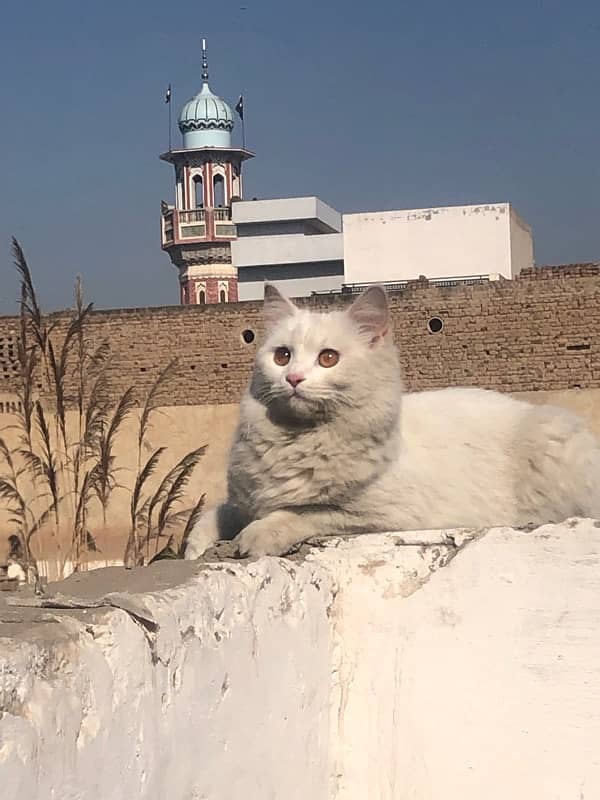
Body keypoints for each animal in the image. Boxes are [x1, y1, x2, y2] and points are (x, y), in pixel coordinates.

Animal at [185, 286, 596, 556]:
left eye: (328, 358)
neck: (296, 440)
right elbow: (216, 513)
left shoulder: (382, 513)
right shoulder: (244, 498)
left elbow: (305, 511)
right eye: (282, 356)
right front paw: (196, 546)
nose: (294, 379)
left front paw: (256, 536)